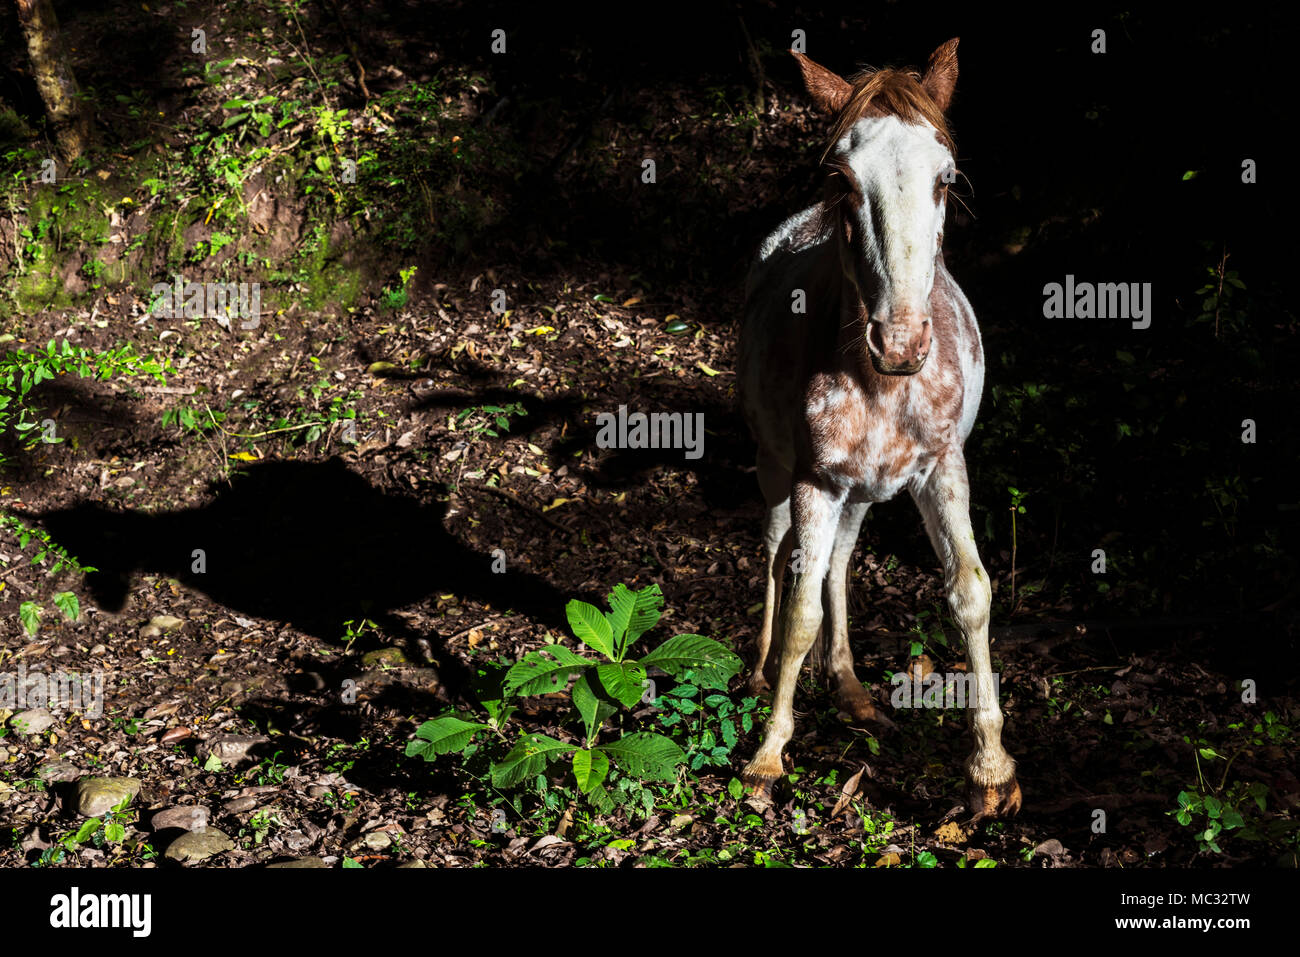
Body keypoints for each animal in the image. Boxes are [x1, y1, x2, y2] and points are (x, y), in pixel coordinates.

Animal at [738, 35, 1019, 816]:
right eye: (844, 179)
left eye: (946, 179)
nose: (899, 342)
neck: (882, 385)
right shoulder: (813, 481)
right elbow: (800, 606)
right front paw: (767, 754)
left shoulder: (941, 469)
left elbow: (969, 591)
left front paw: (991, 772)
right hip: (778, 469)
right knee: (776, 551)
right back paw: (759, 670)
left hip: (862, 491)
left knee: (838, 561)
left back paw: (852, 690)